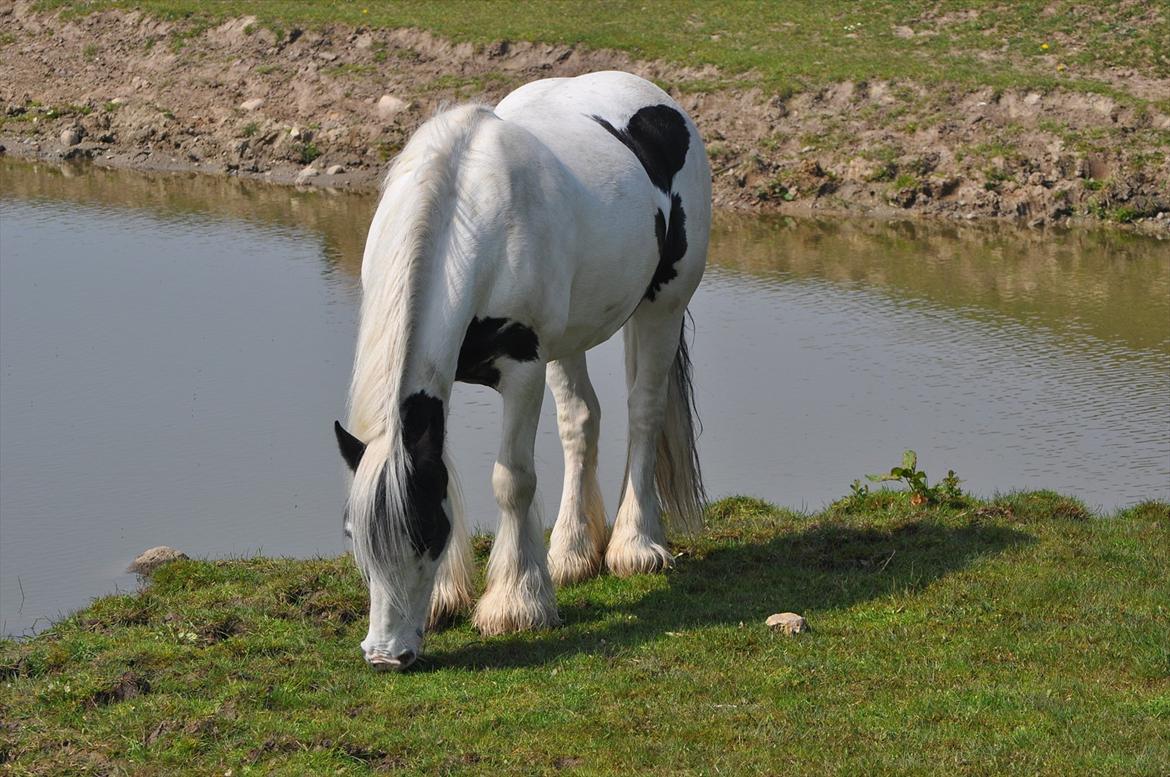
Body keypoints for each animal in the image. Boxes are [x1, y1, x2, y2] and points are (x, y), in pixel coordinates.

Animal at [334, 69, 706, 669]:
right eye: (354, 536)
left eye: (426, 534)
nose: (387, 655)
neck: (464, 213)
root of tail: (654, 97)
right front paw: (449, 597)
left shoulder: (523, 369)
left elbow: (513, 480)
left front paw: (517, 603)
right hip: (570, 338)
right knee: (582, 421)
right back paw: (573, 553)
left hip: (661, 308)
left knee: (644, 413)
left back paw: (635, 546)